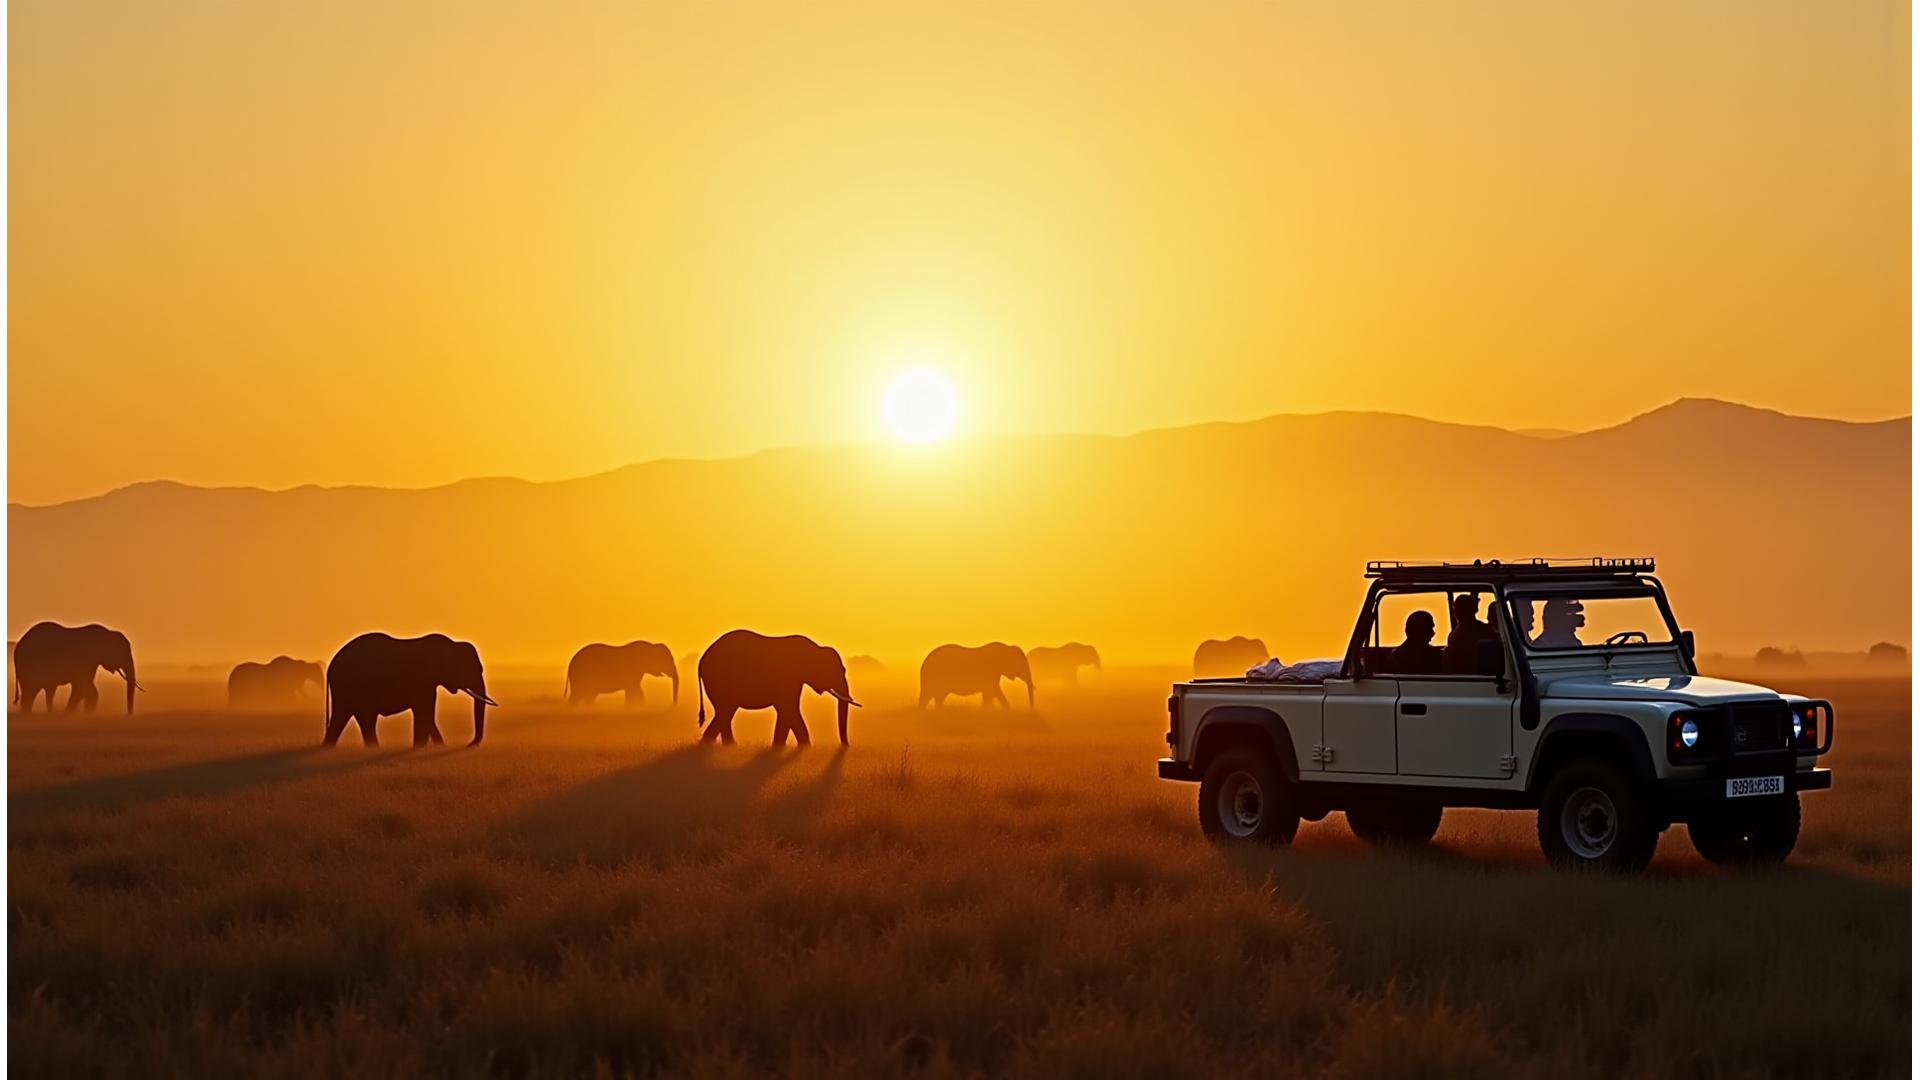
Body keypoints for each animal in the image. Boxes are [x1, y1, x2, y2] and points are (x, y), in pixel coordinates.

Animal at [13, 622, 143, 714]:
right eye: (120, 652)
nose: (129, 714)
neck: (107, 632)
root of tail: (18, 646)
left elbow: (88, 688)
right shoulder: (86, 659)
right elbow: (81, 686)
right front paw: (69, 714)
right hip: (28, 666)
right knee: (30, 692)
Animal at [323, 632, 496, 748]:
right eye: (470, 670)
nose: (469, 744)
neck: (452, 644)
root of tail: (330, 666)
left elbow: (426, 714)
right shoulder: (423, 681)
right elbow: (424, 712)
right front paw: (425, 747)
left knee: (355, 718)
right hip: (348, 686)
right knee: (350, 716)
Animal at [695, 629, 860, 747]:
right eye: (838, 671)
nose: (846, 746)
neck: (815, 648)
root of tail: (701, 661)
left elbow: (785, 711)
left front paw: (780, 747)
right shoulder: (789, 677)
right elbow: (789, 709)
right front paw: (805, 748)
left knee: (724, 714)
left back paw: (727, 746)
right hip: (719, 681)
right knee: (725, 712)